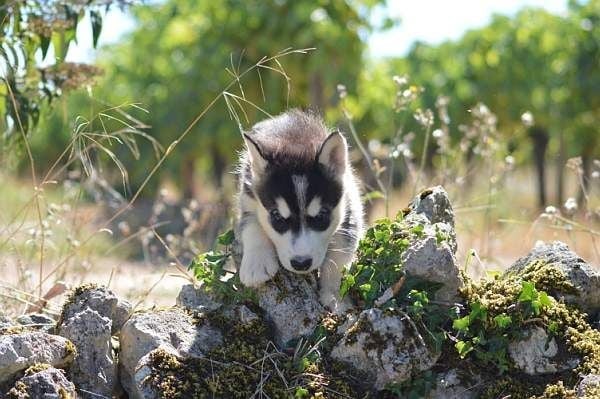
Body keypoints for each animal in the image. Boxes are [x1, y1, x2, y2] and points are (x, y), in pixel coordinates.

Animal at [237, 111, 364, 310]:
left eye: (321, 216)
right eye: (277, 217)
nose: (301, 264)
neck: (294, 136)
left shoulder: (349, 206)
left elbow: (340, 255)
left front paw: (334, 295)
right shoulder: (248, 196)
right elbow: (252, 226)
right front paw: (256, 264)